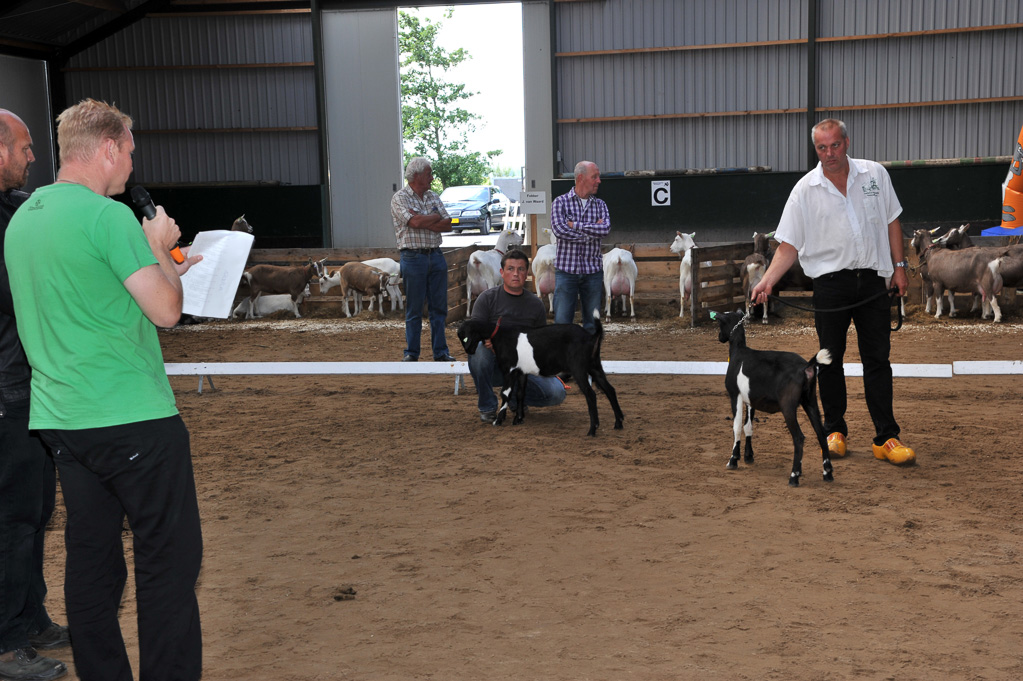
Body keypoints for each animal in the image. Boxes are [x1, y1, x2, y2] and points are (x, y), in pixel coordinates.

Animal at [456, 306, 621, 435]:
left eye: (465, 337)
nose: (469, 351)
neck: (500, 335)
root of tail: (591, 337)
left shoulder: (509, 370)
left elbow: (506, 393)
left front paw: (499, 420)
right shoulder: (522, 372)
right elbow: (520, 393)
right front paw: (518, 419)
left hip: (579, 368)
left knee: (591, 394)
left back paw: (592, 430)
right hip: (595, 366)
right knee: (610, 389)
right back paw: (618, 423)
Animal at [712, 310, 830, 484]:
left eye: (720, 323)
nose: (720, 337)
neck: (739, 352)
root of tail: (806, 367)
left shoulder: (735, 395)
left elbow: (736, 426)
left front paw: (733, 460)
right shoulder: (751, 400)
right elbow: (748, 426)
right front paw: (748, 456)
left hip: (788, 407)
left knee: (799, 438)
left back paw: (794, 476)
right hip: (810, 401)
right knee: (821, 433)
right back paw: (827, 473)